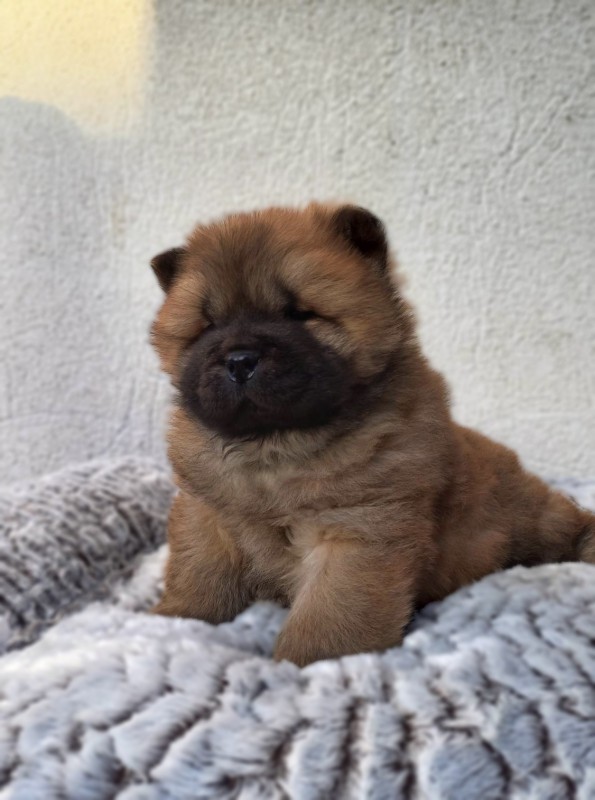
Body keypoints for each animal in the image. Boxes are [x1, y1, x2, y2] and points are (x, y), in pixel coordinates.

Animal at [150, 203, 595, 666]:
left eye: (298, 314)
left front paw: (306, 664)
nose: (239, 360)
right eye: (207, 326)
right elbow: (199, 576)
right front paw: (174, 619)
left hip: (527, 516)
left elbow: (330, 614)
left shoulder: (360, 528)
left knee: (566, 524)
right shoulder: (206, 515)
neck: (274, 451)